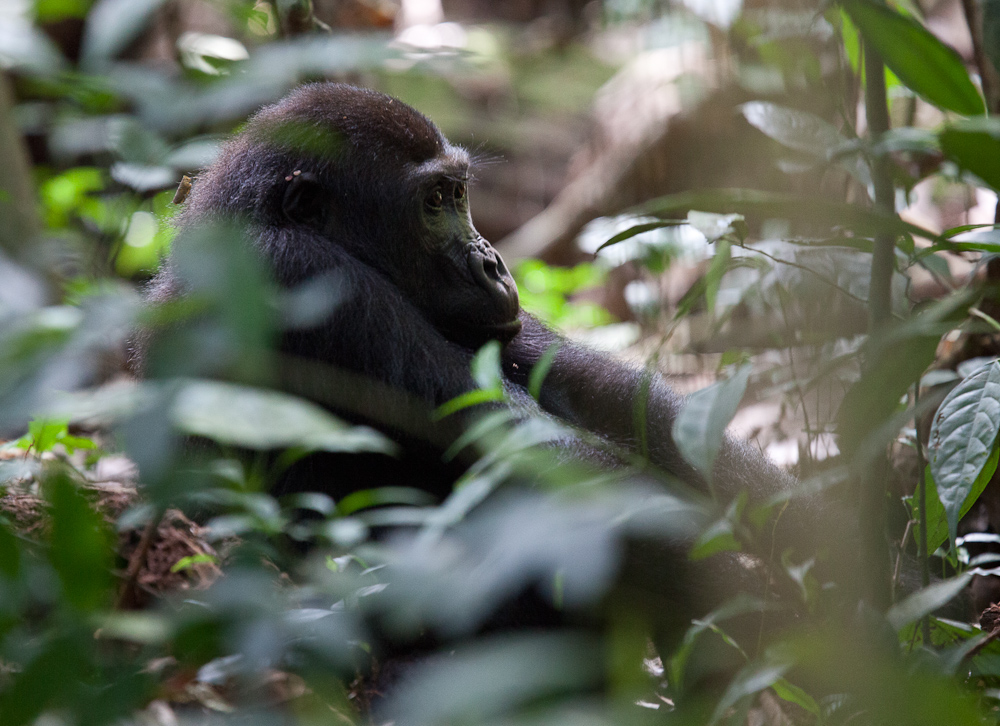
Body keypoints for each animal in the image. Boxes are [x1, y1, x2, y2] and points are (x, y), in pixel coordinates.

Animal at [139, 85, 828, 660]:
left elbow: (607, 400)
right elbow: (540, 460)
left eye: (459, 195)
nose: (491, 262)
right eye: (431, 203)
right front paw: (756, 603)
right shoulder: (305, 276)